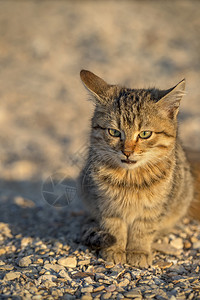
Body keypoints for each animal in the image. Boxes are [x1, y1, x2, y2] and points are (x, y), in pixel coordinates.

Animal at [77, 69, 198, 268]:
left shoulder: (153, 208)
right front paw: (115, 250)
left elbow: (143, 229)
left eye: (145, 134)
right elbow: (114, 227)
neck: (130, 178)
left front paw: (138, 251)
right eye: (114, 132)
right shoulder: (107, 204)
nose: (127, 152)